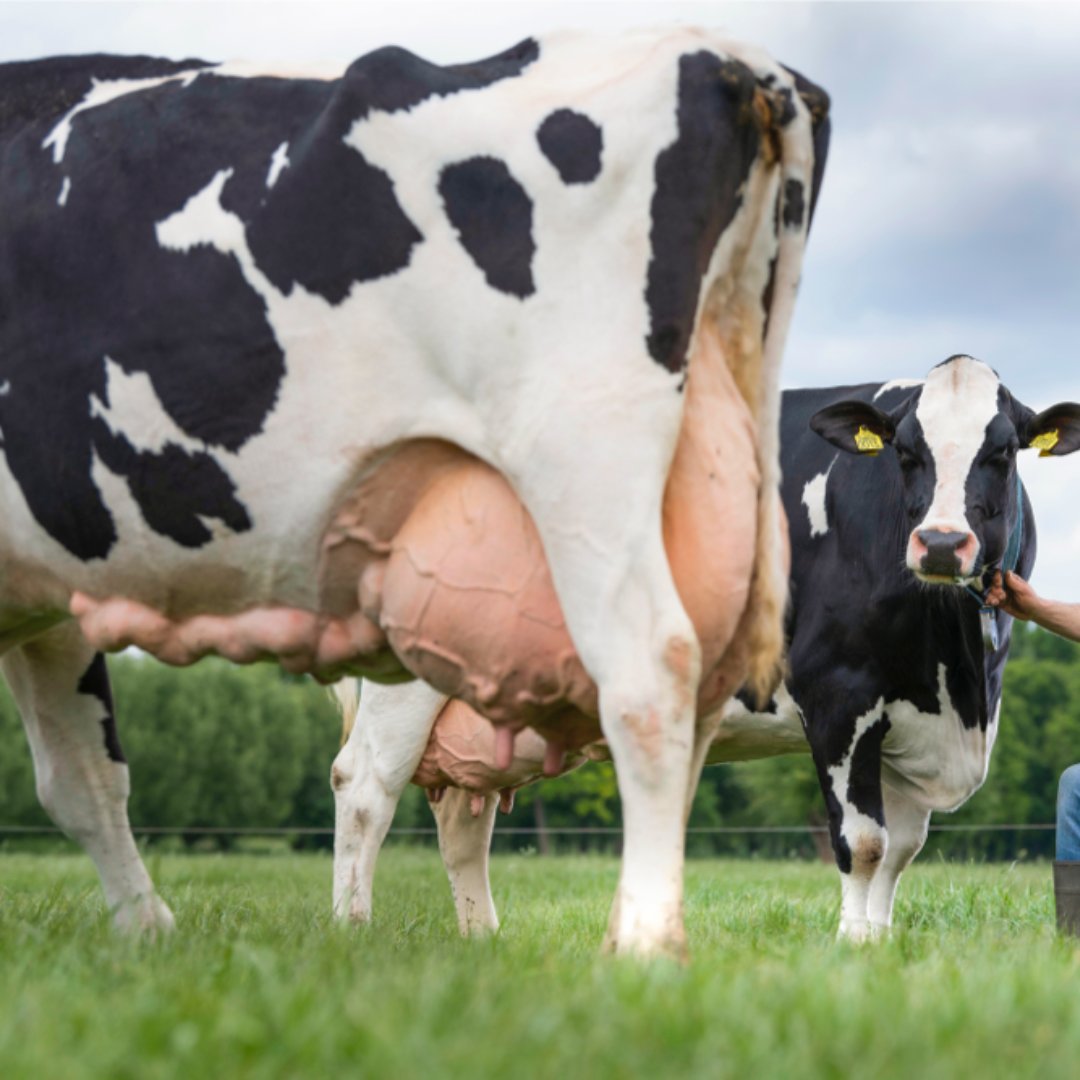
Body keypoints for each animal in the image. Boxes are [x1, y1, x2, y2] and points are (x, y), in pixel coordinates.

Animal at [0, 29, 829, 956]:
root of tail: (732, 59)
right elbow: (82, 776)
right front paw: (145, 932)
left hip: (576, 483)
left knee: (628, 685)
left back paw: (629, 949)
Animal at [335, 357, 1080, 942]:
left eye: (1003, 452)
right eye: (905, 451)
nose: (943, 544)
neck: (958, 675)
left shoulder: (910, 719)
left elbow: (900, 850)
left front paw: (879, 941)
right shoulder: (838, 695)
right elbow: (863, 842)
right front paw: (852, 945)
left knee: (463, 819)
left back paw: (482, 936)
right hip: (406, 681)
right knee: (364, 785)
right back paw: (354, 929)